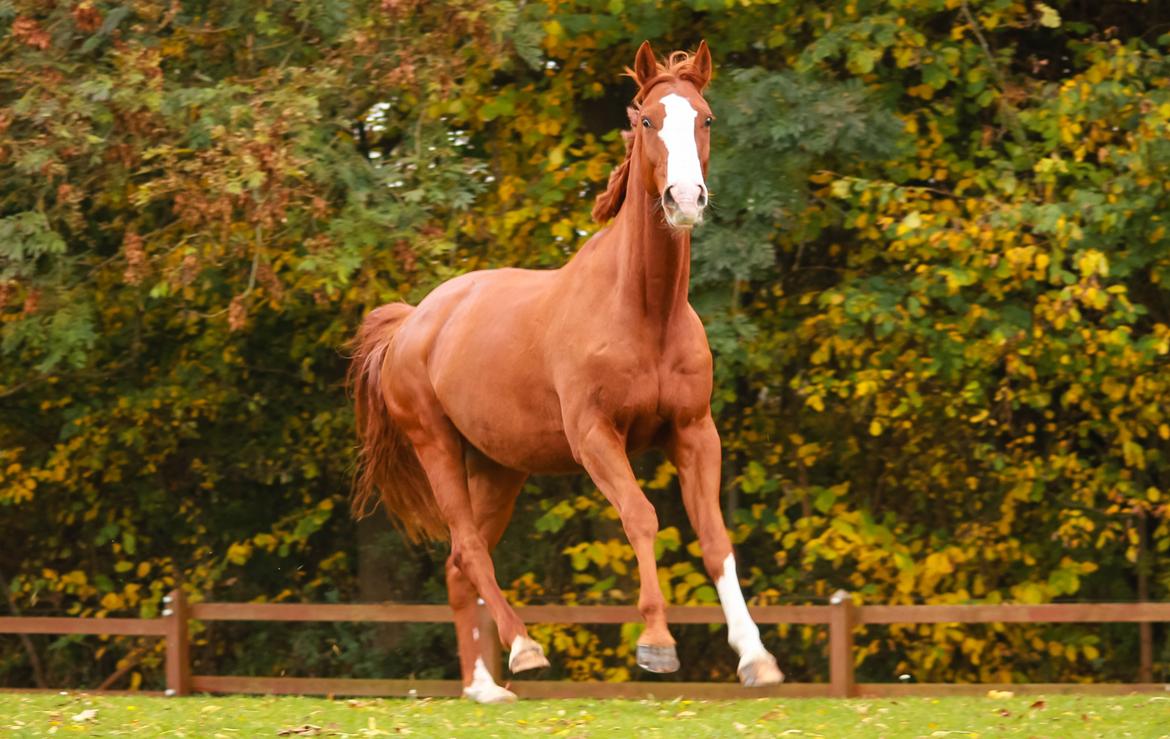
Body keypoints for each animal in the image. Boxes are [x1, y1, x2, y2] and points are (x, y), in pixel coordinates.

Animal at [351, 41, 781, 706]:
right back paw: (523, 650)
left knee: (459, 564)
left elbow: (714, 538)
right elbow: (642, 517)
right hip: (436, 447)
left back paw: (484, 688)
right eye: (647, 120)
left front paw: (755, 657)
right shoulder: (595, 437)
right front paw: (657, 644)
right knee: (468, 549)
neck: (644, 312)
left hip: (497, 469)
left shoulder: (694, 433)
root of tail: (412, 322)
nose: (685, 199)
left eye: (705, 119)